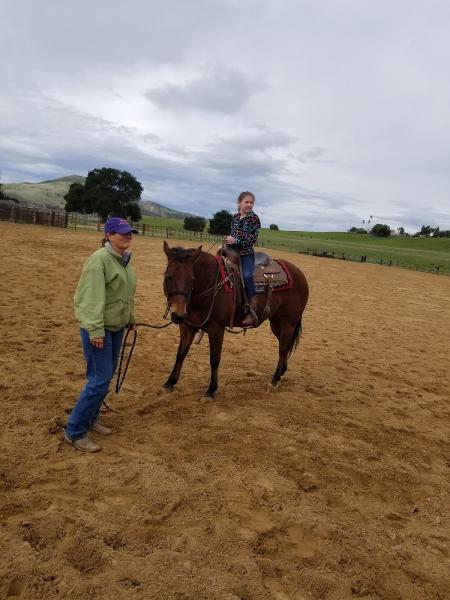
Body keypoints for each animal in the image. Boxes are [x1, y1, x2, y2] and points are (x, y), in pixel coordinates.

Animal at [162, 239, 310, 398]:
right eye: (168, 276)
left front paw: (211, 390)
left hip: (289, 321)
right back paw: (281, 373)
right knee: (285, 345)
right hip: (277, 322)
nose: (178, 314)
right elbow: (181, 353)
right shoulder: (187, 326)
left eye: (192, 278)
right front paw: (170, 382)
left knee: (283, 349)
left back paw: (274, 381)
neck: (212, 283)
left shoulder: (216, 329)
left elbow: (214, 359)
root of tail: (299, 273)